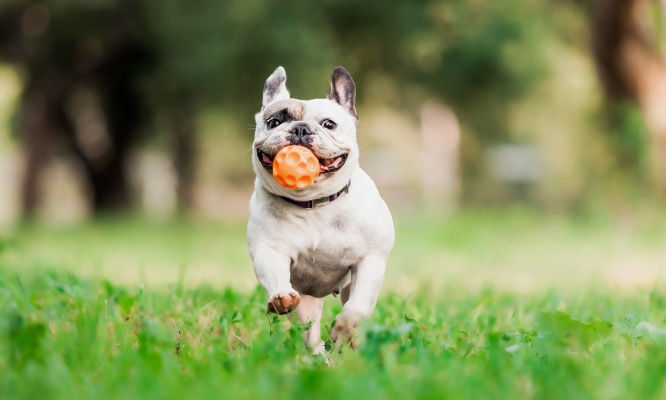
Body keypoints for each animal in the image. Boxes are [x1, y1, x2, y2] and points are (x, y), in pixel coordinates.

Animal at [249, 66, 394, 354]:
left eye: (328, 124)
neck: (313, 203)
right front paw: (280, 296)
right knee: (310, 332)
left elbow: (357, 308)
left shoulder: (370, 260)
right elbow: (274, 273)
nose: (300, 129)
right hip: (307, 302)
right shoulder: (268, 249)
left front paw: (343, 329)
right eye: (274, 122)